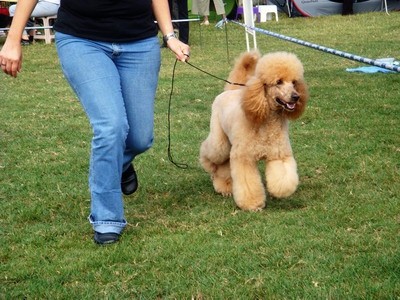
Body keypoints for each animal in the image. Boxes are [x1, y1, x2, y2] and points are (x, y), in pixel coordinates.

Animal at [200, 51, 310, 211]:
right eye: (278, 82)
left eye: (294, 82)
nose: (296, 97)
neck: (266, 122)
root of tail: (230, 91)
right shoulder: (244, 158)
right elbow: (248, 183)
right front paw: (252, 204)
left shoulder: (279, 154)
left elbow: (283, 179)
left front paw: (279, 190)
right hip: (219, 141)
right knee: (209, 152)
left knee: (224, 165)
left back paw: (225, 186)